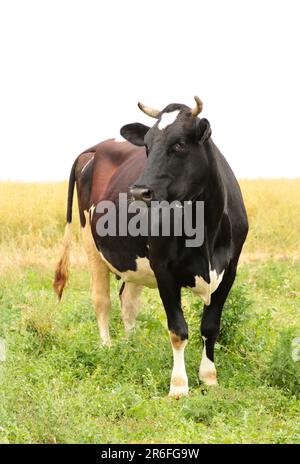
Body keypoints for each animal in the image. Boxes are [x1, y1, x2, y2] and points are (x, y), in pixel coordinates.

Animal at [54, 96, 248, 396]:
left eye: (179, 144)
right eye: (146, 146)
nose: (138, 192)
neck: (206, 229)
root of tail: (94, 149)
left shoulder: (230, 270)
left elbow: (211, 326)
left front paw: (209, 377)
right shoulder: (164, 270)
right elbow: (178, 330)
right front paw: (178, 386)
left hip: (134, 260)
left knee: (128, 301)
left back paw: (132, 347)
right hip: (90, 243)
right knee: (102, 300)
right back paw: (107, 348)